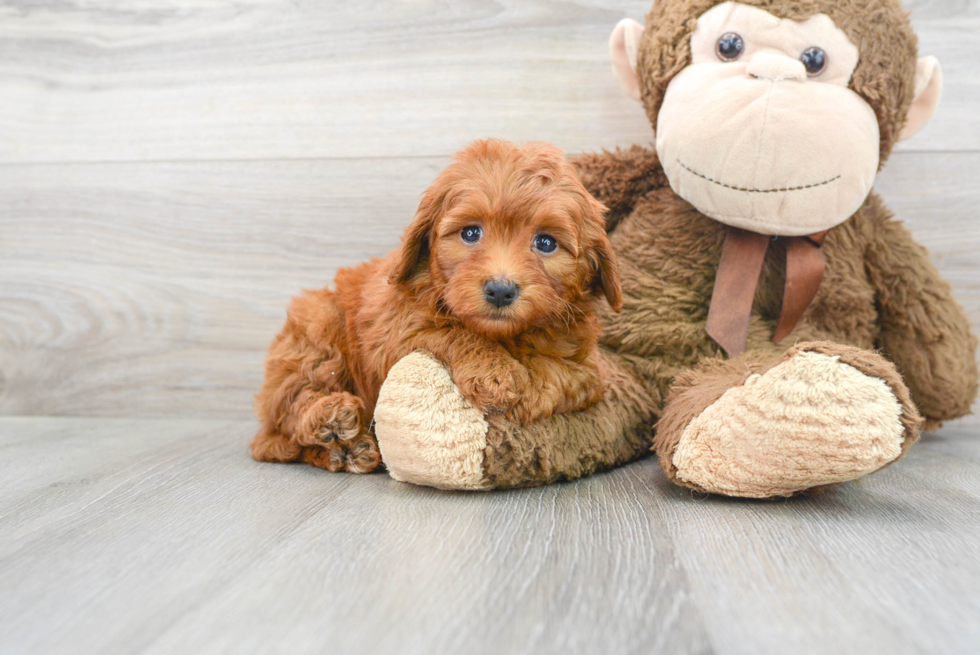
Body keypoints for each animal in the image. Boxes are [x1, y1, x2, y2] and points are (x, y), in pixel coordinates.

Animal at [251, 141, 620, 474]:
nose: (500, 290)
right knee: (289, 412)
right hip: (317, 327)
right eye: (470, 233)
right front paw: (497, 374)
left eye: (545, 242)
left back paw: (347, 451)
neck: (505, 336)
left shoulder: (589, 365)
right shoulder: (394, 331)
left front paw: (529, 394)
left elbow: (568, 375)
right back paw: (333, 420)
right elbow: (450, 330)